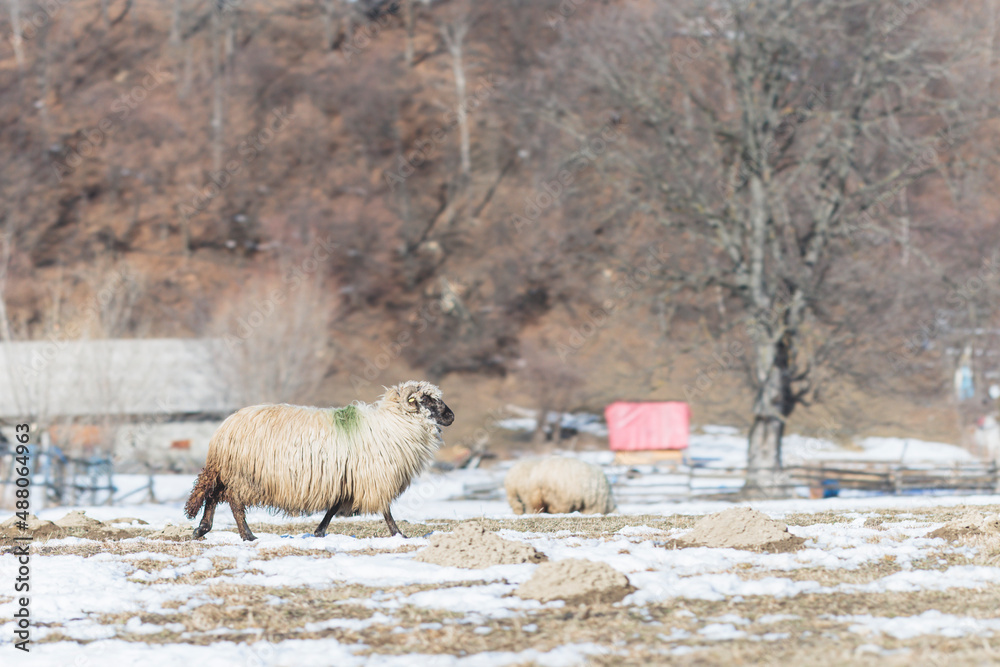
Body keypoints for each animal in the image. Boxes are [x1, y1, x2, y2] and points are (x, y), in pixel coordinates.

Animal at [184, 380, 454, 541]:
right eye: (427, 399)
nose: (451, 416)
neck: (394, 425)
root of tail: (225, 428)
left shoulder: (346, 478)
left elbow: (334, 508)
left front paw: (319, 531)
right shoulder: (372, 476)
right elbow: (385, 510)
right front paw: (399, 534)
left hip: (229, 471)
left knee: (213, 495)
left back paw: (202, 529)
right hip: (245, 475)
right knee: (234, 502)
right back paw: (247, 535)